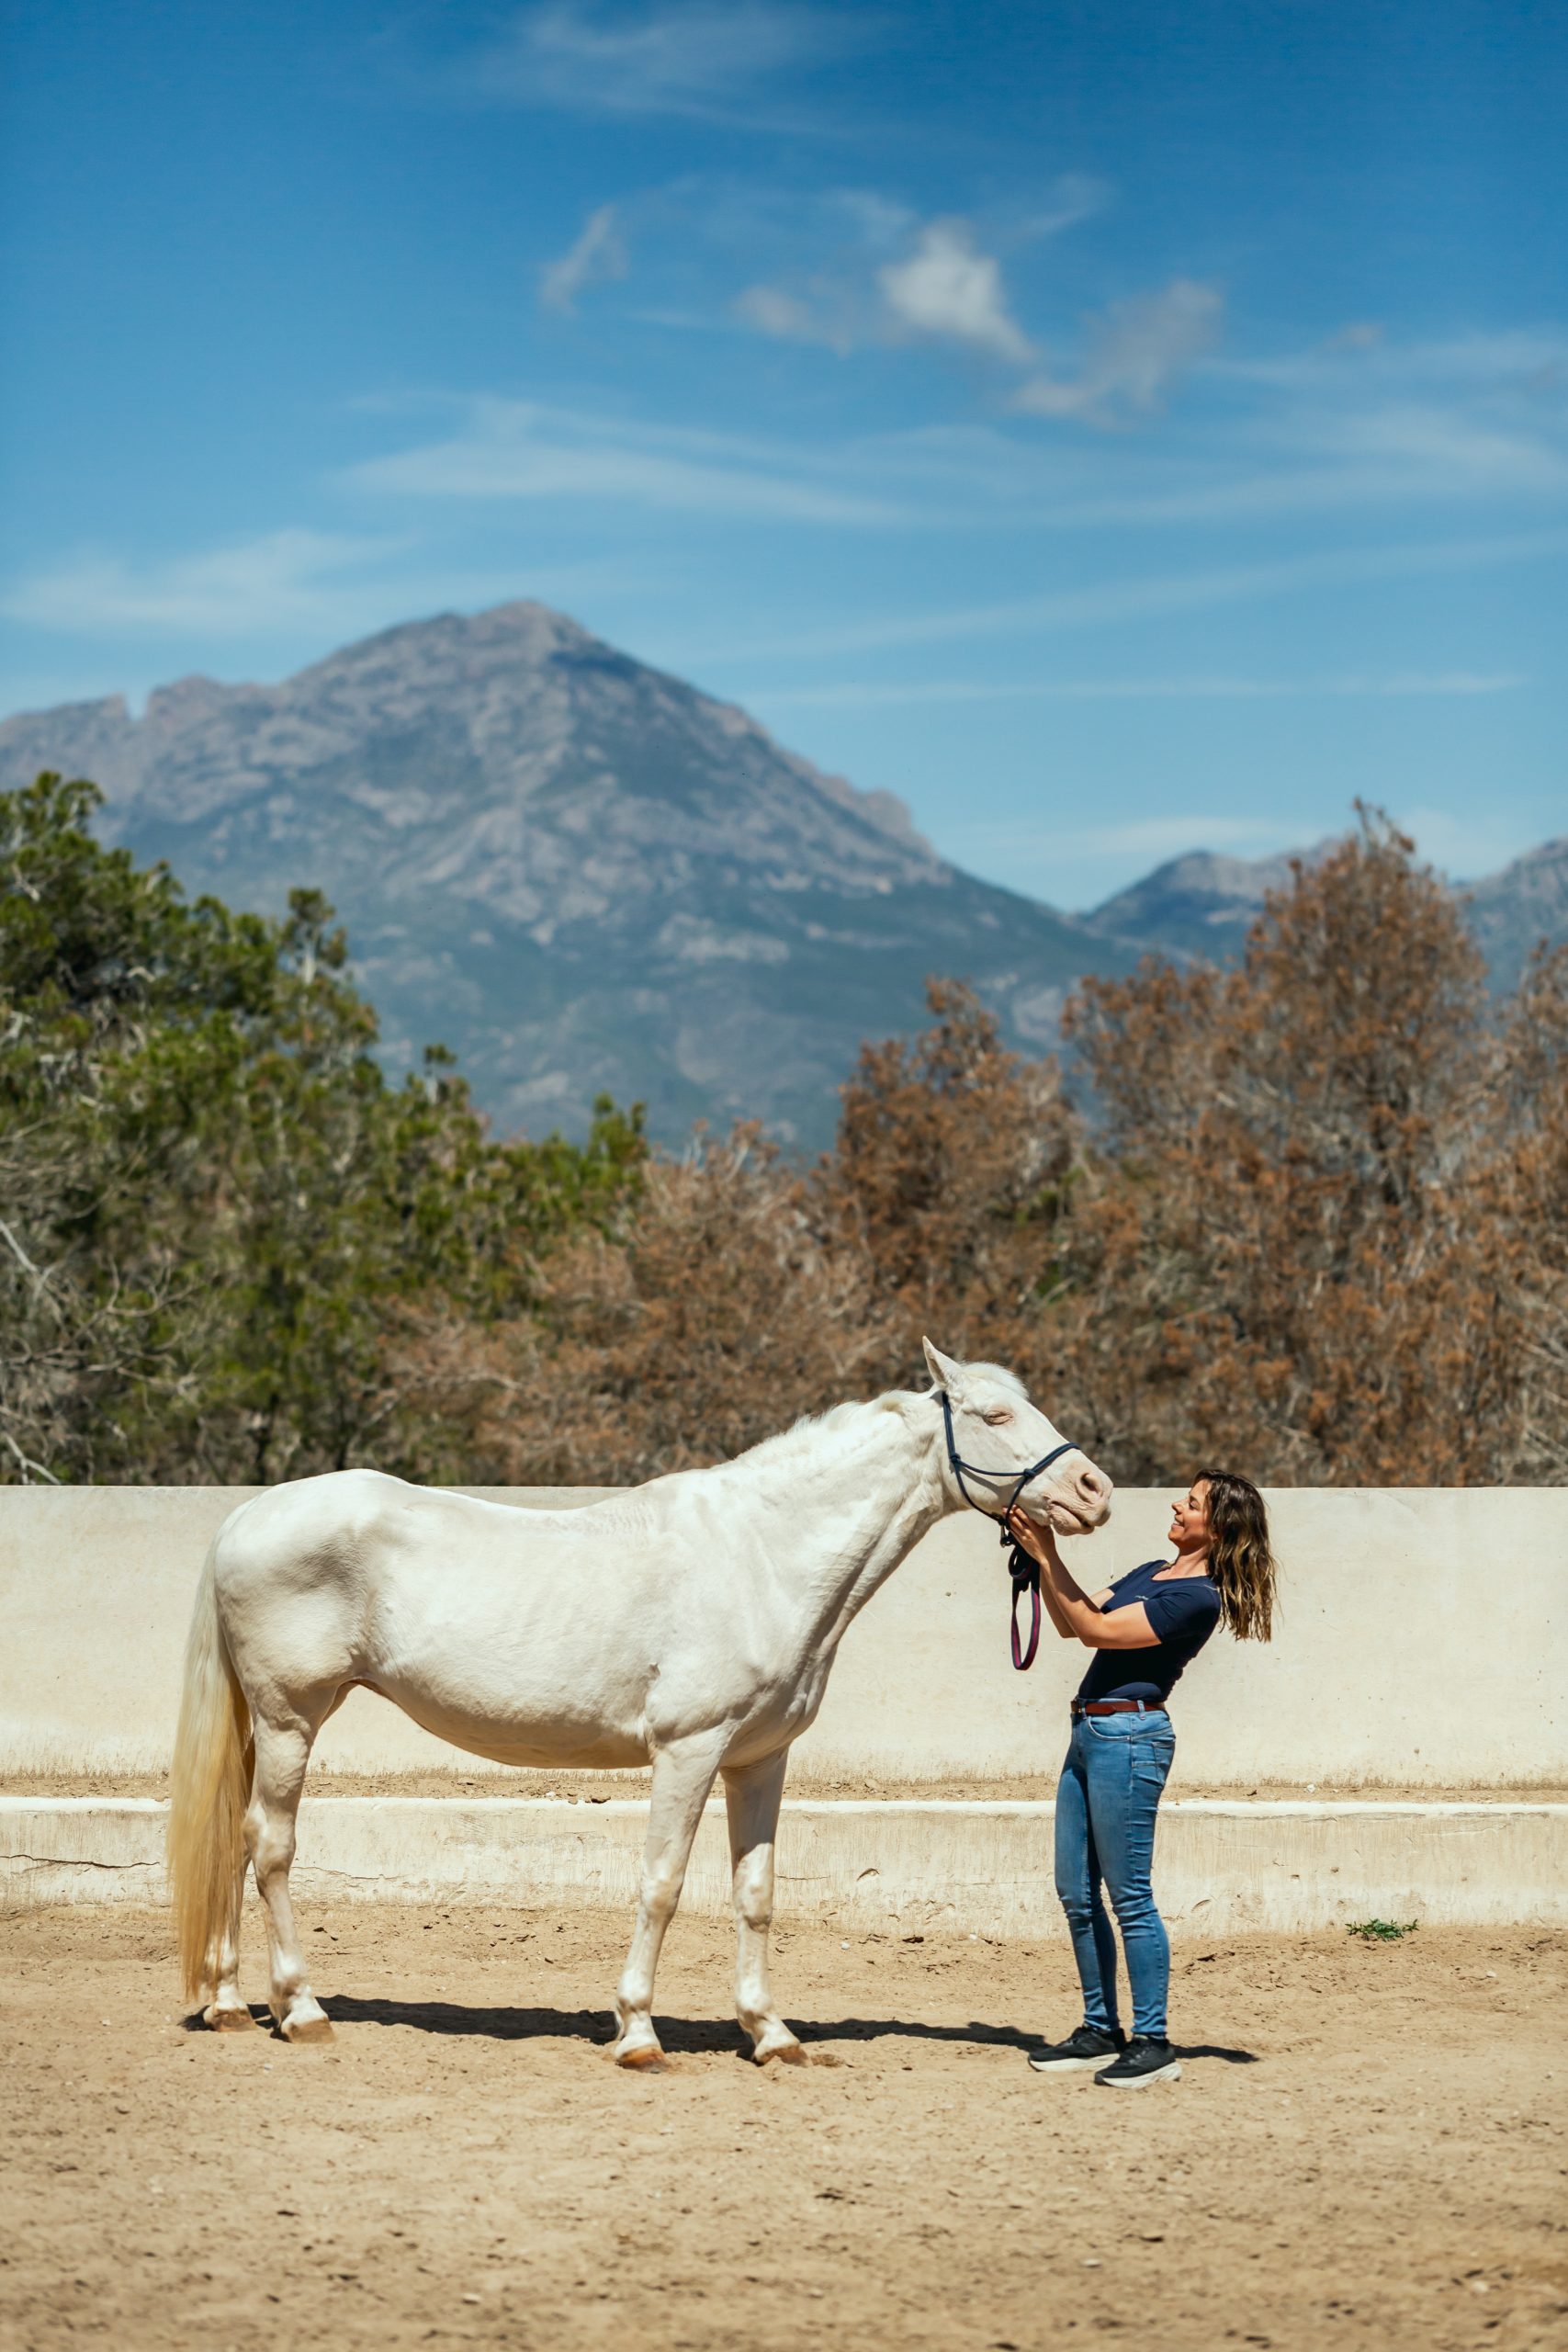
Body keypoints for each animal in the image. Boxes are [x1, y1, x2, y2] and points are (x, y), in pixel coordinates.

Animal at [167, 1339, 1113, 2065]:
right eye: (994, 1416)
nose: (1094, 1492)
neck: (762, 1556)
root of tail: (245, 1518)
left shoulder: (758, 1759)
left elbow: (755, 1890)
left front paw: (771, 2034)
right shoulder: (687, 1750)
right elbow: (662, 1884)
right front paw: (638, 2032)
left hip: (268, 1726)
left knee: (234, 1841)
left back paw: (228, 2002)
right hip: (292, 1719)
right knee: (271, 1846)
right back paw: (300, 2010)